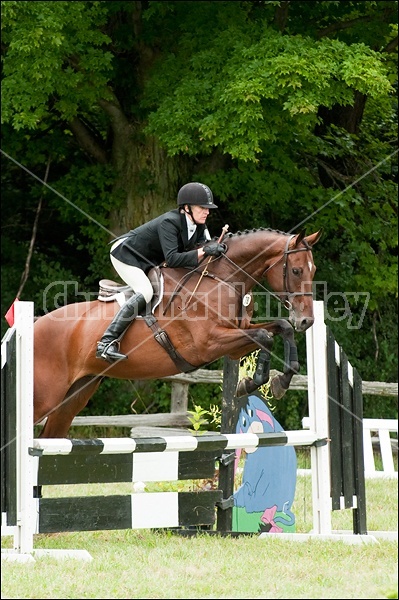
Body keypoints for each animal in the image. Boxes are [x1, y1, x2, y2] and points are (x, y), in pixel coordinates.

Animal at [33, 225, 322, 436]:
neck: (221, 279)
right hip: (44, 397)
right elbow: (265, 336)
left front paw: (279, 381)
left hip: (74, 397)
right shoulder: (208, 344)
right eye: (297, 270)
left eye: (314, 270)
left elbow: (279, 329)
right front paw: (251, 382)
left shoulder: (234, 343)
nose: (307, 321)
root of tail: (34, 325)